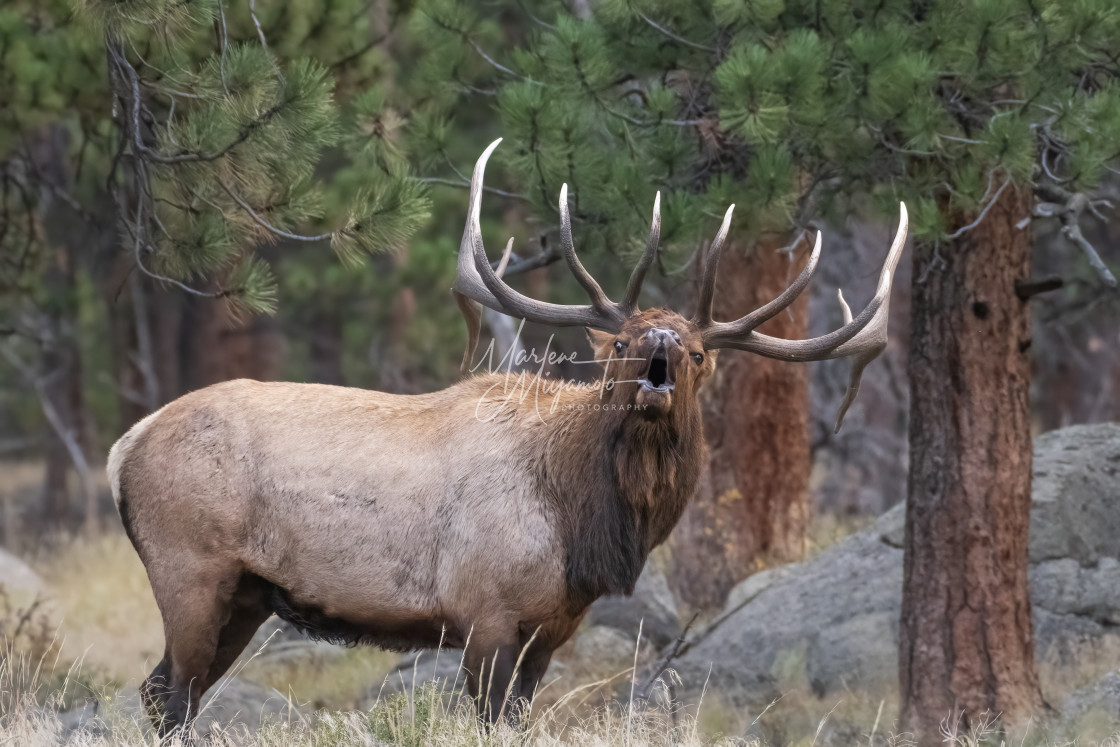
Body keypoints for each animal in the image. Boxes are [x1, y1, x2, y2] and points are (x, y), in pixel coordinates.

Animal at [109, 138, 904, 734]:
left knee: (165, 691)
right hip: (190, 565)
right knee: (169, 692)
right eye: (618, 343)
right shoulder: (484, 610)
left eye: (701, 352)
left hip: (246, 594)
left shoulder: (552, 628)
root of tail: (124, 448)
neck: (581, 524)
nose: (660, 345)